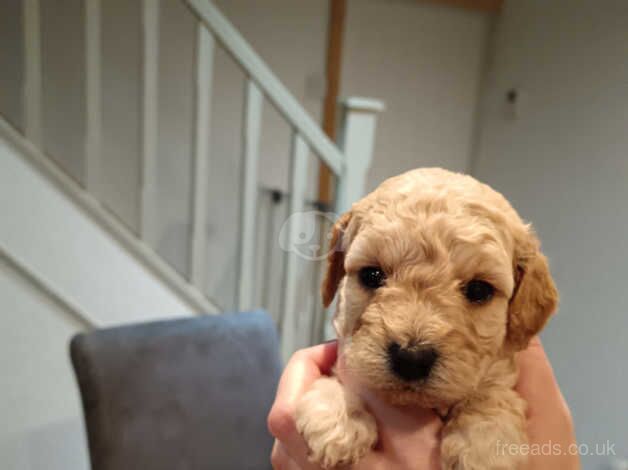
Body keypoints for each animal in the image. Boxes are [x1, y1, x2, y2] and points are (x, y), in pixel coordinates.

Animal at [296, 167, 560, 468]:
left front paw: (485, 445)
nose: (411, 358)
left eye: (479, 290)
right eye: (371, 275)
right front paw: (340, 415)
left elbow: (493, 393)